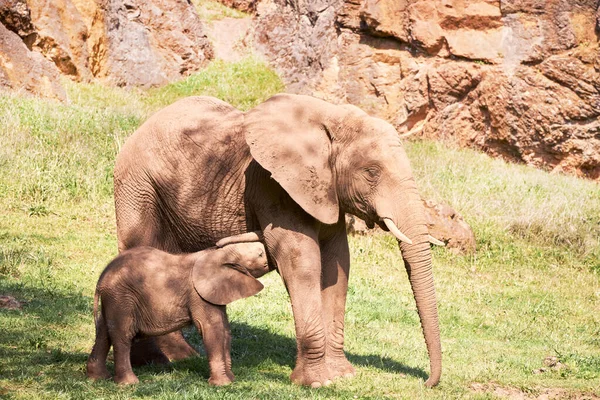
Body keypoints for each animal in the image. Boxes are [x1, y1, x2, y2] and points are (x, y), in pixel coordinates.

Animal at [86, 236, 268, 386]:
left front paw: (231, 379)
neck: (218, 255)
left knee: (103, 333)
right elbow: (211, 329)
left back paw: (98, 378)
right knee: (123, 335)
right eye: (260, 254)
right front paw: (222, 384)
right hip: (122, 298)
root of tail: (101, 279)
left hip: (113, 300)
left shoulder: (214, 292)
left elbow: (225, 328)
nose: (267, 258)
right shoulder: (198, 294)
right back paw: (129, 383)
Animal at [113, 94, 440, 388]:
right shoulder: (273, 187)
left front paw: (342, 376)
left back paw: (178, 357)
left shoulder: (326, 192)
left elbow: (337, 268)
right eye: (372, 173)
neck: (330, 116)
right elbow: (303, 263)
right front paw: (317, 383)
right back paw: (163, 360)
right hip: (137, 184)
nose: (426, 383)